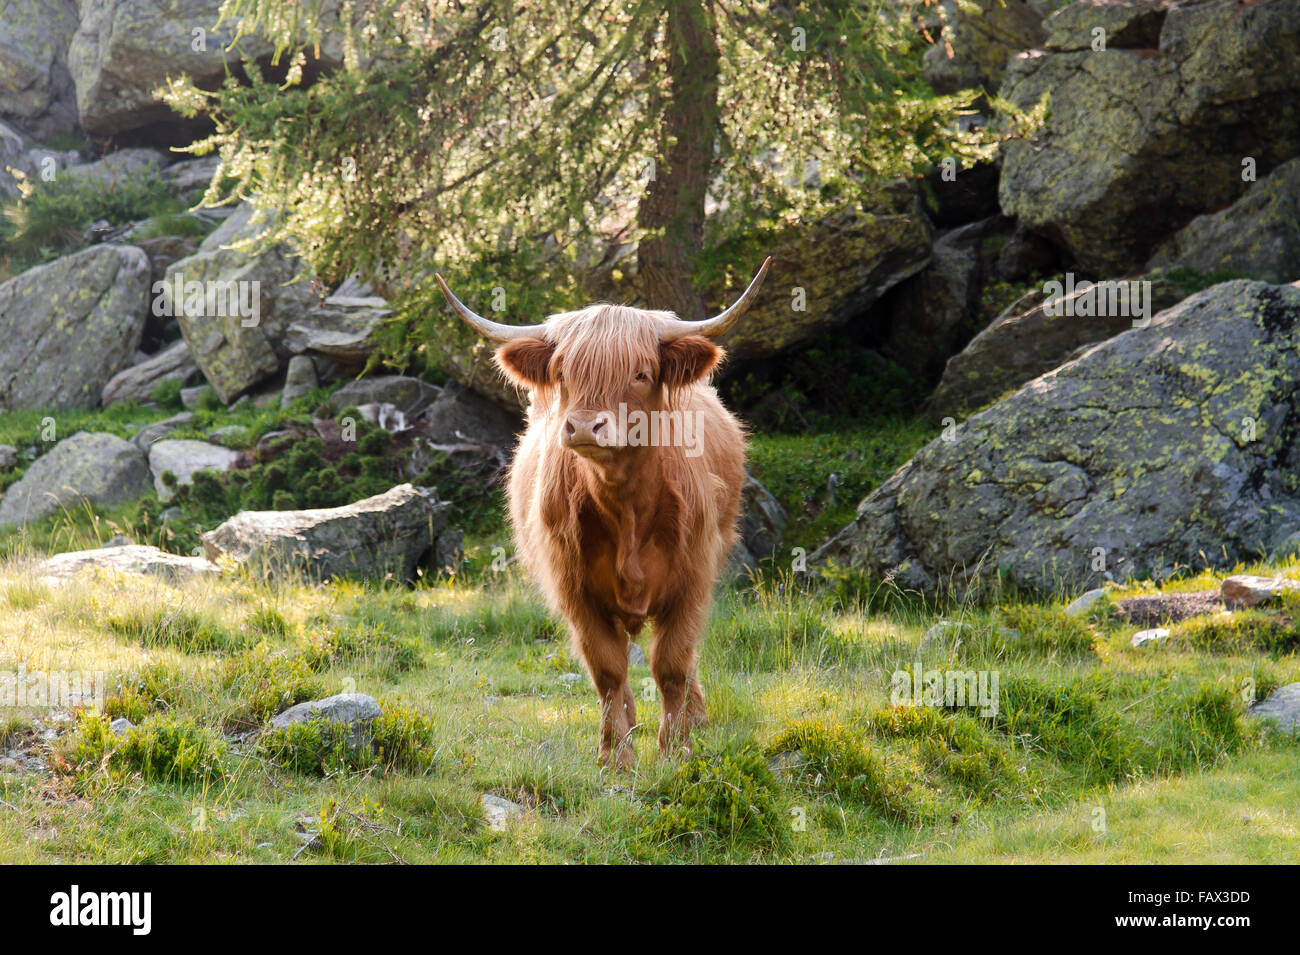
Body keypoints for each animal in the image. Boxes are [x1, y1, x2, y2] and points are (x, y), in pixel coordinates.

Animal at [436, 261, 769, 769]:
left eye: (640, 373)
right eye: (562, 372)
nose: (583, 426)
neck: (625, 507)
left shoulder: (692, 578)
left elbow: (672, 664)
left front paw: (676, 751)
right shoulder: (575, 589)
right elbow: (608, 670)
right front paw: (616, 756)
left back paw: (698, 719)